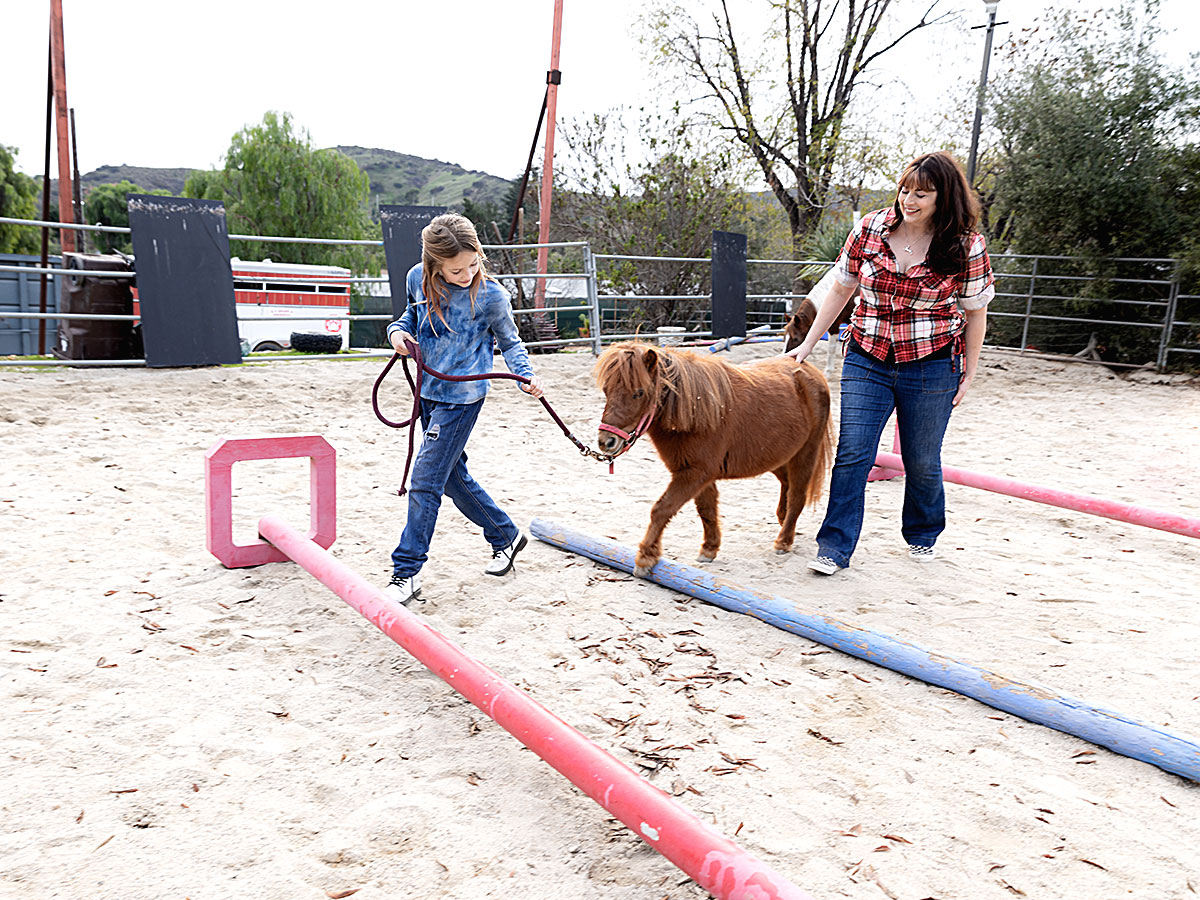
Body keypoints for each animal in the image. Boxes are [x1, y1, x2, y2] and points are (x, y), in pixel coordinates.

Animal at [592, 338, 835, 578]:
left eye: (639, 392)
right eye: (606, 390)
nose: (606, 442)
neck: (697, 411)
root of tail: (812, 373)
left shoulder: (695, 474)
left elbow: (662, 509)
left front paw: (645, 557)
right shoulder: (698, 475)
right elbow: (706, 510)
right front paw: (709, 549)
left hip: (805, 454)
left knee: (797, 496)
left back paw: (784, 541)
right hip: (778, 456)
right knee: (786, 483)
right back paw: (783, 521)